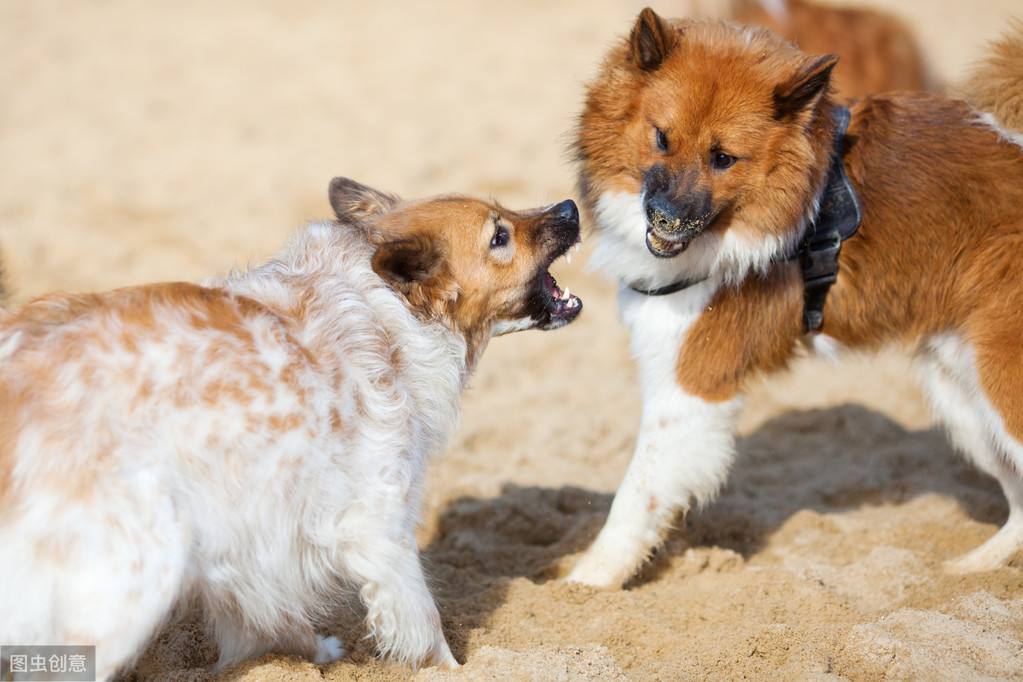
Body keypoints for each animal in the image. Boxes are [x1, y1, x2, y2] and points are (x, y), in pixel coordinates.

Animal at [0, 177, 585, 678]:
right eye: (498, 236)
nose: (570, 208)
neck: (385, 312)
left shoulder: (245, 535)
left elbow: (266, 615)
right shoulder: (380, 524)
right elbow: (424, 623)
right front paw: (456, 670)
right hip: (131, 576)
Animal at [568, 7, 1023, 588]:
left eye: (724, 158)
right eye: (662, 138)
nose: (666, 220)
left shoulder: (691, 386)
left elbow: (636, 497)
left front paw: (582, 587)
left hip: (1000, 380)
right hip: (964, 392)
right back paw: (974, 568)